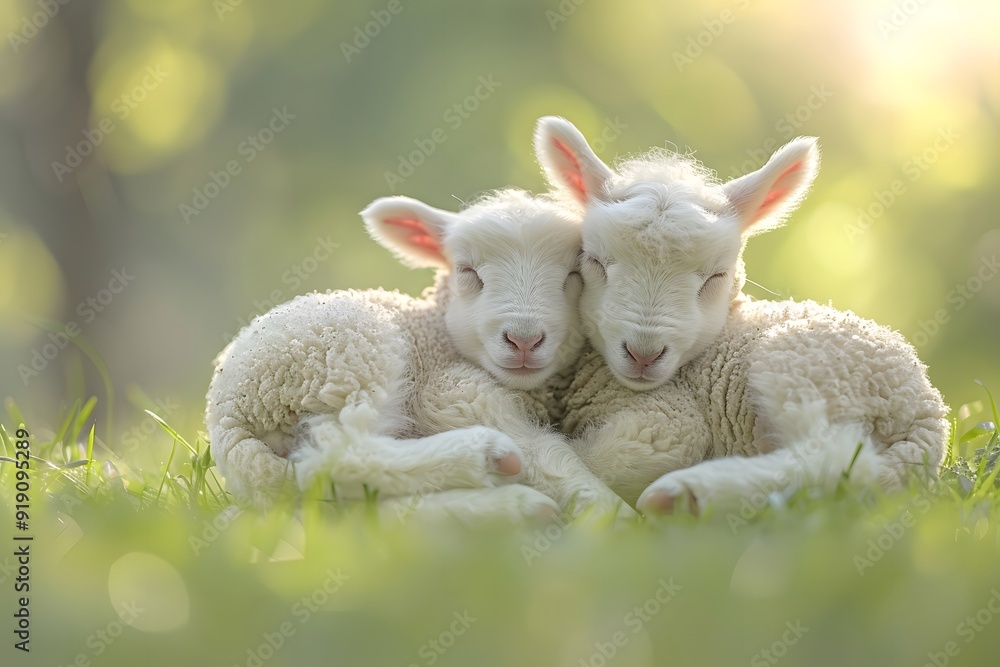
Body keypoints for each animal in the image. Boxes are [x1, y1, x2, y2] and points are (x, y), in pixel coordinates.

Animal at [205, 188, 629, 521]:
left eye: (573, 274)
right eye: (467, 271)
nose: (523, 340)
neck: (435, 328)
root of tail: (227, 419)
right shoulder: (449, 390)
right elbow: (544, 449)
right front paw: (608, 511)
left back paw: (510, 507)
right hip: (347, 358)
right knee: (337, 455)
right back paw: (487, 457)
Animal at [532, 116, 950, 514]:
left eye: (717, 275)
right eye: (594, 261)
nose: (643, 355)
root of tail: (928, 416)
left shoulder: (666, 416)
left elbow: (619, 454)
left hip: (808, 370)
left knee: (838, 456)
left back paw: (684, 494)